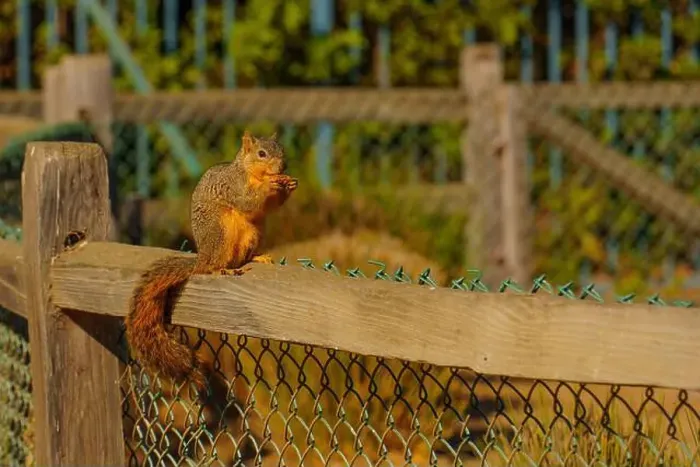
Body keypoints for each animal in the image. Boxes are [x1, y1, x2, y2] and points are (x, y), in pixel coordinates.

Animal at [125, 130, 297, 394]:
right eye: (261, 153)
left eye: (282, 150)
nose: (283, 166)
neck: (250, 172)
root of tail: (202, 258)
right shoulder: (233, 187)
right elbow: (249, 201)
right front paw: (272, 185)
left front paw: (289, 185)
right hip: (221, 233)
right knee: (214, 266)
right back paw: (222, 270)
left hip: (254, 233)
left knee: (242, 257)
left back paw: (258, 257)